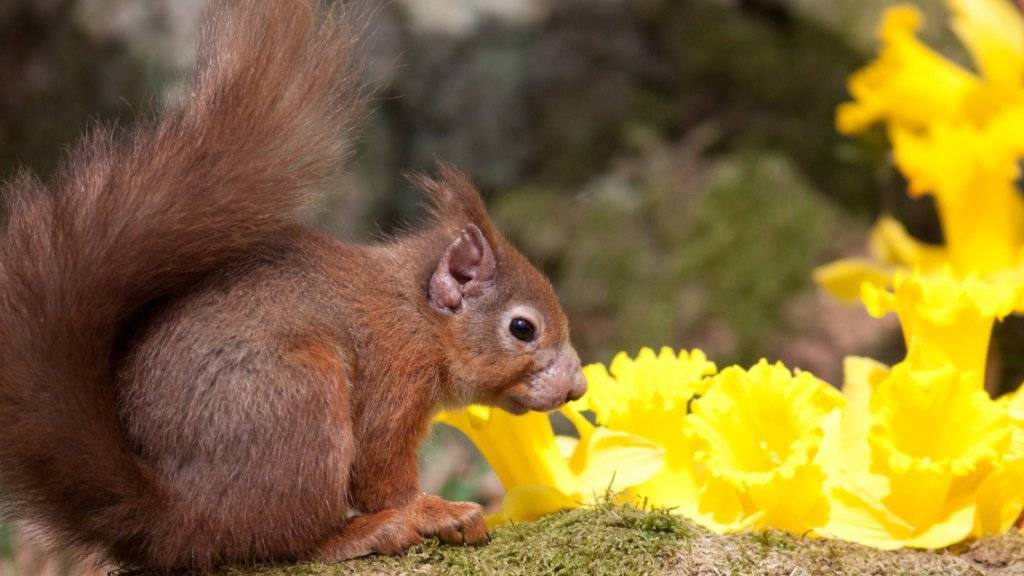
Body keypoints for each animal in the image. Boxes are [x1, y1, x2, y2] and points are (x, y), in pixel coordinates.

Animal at [0, 0, 585, 569]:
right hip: (301, 402)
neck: (417, 315)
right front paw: (434, 511)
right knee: (282, 538)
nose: (577, 387)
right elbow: (381, 474)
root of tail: (176, 518)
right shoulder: (395, 376)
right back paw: (364, 533)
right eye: (523, 329)